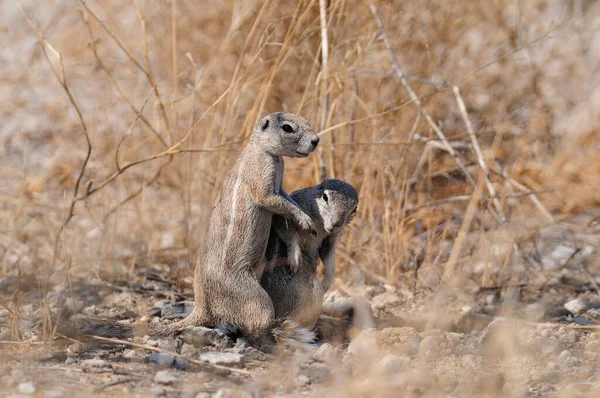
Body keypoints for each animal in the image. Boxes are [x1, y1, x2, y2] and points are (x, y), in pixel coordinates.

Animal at [262, 180, 358, 330]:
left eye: (354, 209)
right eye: (325, 197)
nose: (336, 223)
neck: (321, 223)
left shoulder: (330, 239)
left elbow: (328, 256)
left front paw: (328, 281)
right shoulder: (294, 207)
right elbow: (287, 230)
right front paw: (295, 256)